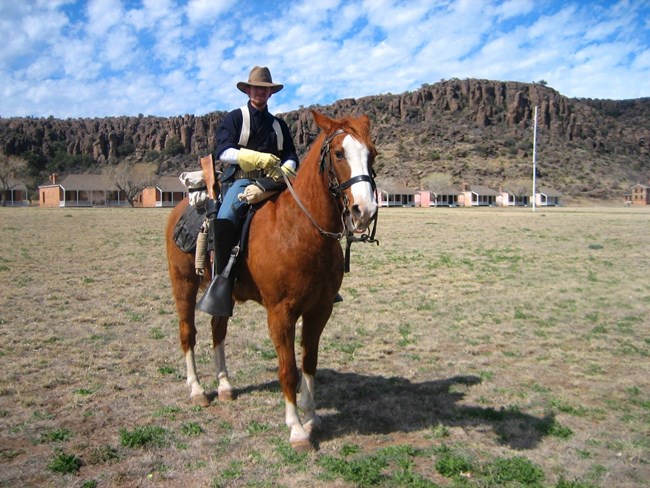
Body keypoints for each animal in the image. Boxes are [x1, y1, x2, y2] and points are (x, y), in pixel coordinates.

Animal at [163, 110, 374, 450]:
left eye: (372, 155)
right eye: (339, 153)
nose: (364, 210)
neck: (299, 229)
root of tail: (182, 207)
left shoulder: (320, 310)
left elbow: (309, 363)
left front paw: (311, 417)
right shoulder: (280, 314)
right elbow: (288, 369)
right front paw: (297, 429)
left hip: (221, 294)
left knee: (217, 331)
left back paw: (224, 384)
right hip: (183, 283)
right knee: (188, 333)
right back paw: (197, 390)